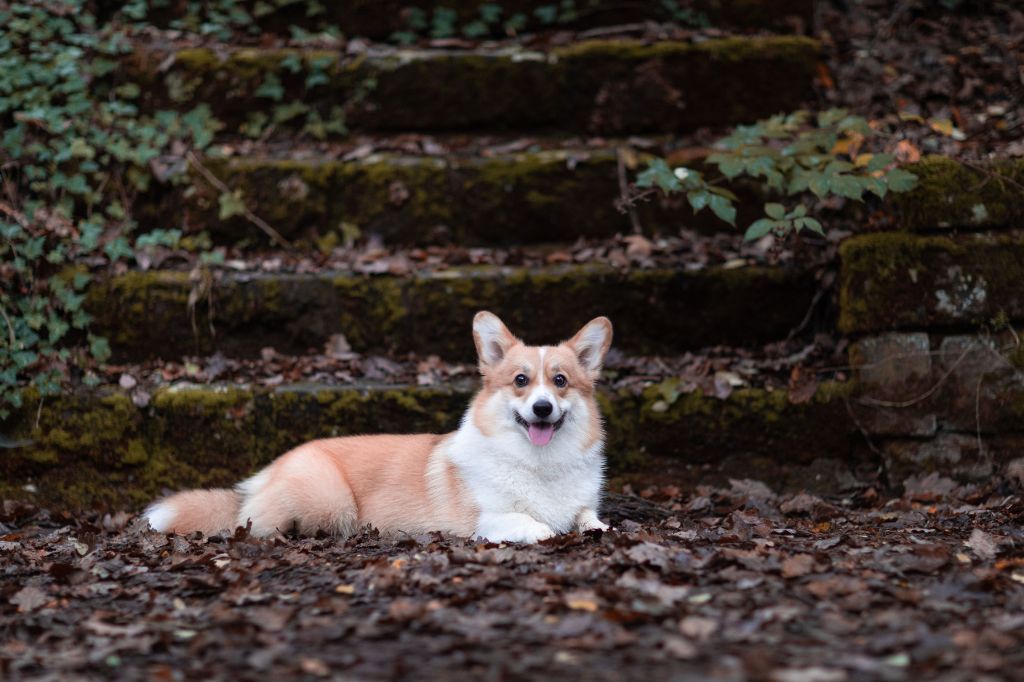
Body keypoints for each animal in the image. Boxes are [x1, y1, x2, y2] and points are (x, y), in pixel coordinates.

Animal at [142, 311, 606, 540]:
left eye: (560, 381)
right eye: (521, 381)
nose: (542, 409)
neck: (539, 463)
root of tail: (264, 474)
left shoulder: (581, 504)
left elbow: (588, 516)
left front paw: (595, 527)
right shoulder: (483, 520)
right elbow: (535, 525)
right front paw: (548, 530)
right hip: (330, 500)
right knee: (257, 526)